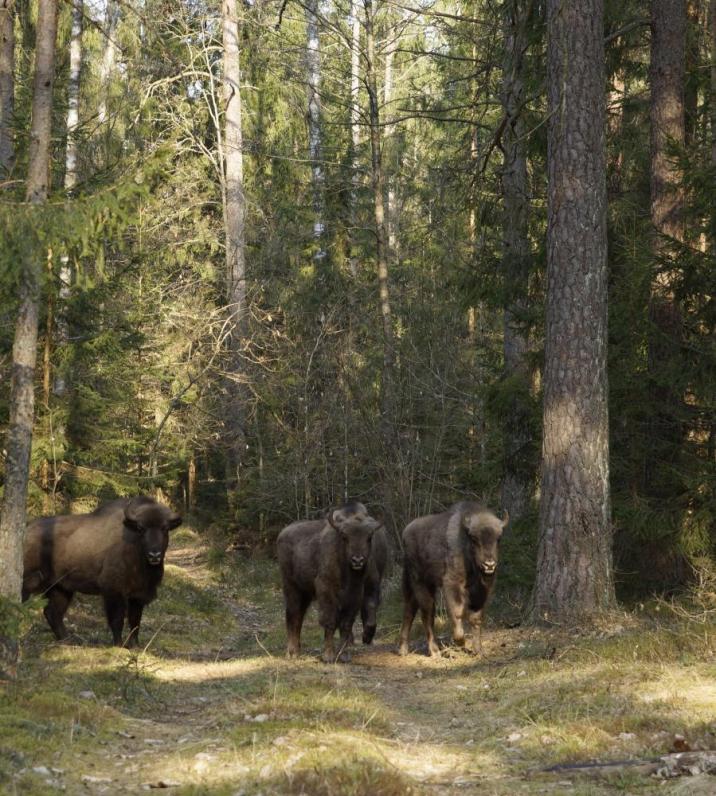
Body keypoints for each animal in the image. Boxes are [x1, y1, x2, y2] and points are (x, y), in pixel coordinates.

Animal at [23, 498, 183, 648]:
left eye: (165, 528)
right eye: (141, 528)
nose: (154, 555)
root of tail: (28, 530)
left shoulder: (138, 595)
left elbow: (135, 621)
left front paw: (135, 646)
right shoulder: (113, 591)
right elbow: (117, 619)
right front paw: (119, 644)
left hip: (61, 588)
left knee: (52, 613)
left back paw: (69, 639)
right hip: (30, 583)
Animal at [276, 500, 386, 664]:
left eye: (369, 537)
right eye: (345, 537)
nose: (357, 560)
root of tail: (283, 533)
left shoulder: (355, 597)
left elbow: (346, 625)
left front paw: (344, 655)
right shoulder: (326, 592)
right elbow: (330, 622)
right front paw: (328, 656)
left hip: (305, 593)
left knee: (299, 616)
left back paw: (297, 650)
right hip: (291, 587)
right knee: (292, 615)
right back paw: (292, 652)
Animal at [398, 500, 510, 656]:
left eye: (498, 538)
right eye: (474, 538)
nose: (489, 565)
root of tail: (406, 532)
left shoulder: (481, 590)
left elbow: (476, 618)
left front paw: (478, 650)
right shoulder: (452, 584)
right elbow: (457, 612)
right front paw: (460, 641)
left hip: (419, 585)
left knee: (410, 610)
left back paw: (403, 649)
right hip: (419, 582)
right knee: (427, 613)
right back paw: (434, 651)